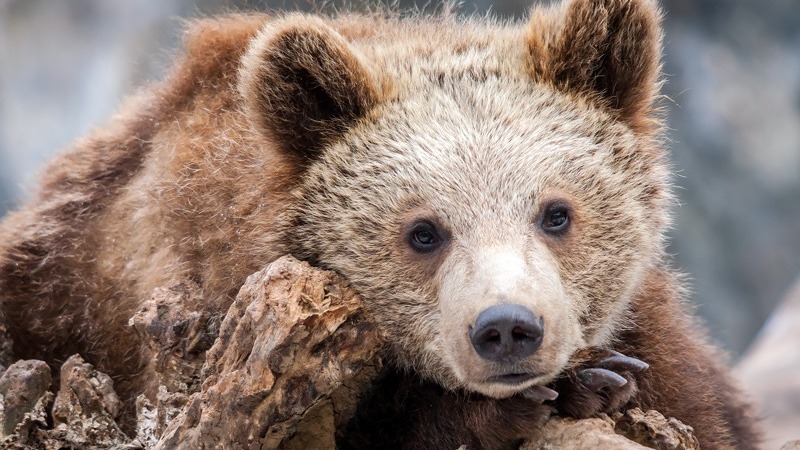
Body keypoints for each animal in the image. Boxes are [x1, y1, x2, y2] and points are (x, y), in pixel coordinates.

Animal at [0, 0, 756, 448]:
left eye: (556, 213)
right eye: (424, 231)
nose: (507, 328)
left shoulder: (669, 353)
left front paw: (593, 376)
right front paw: (568, 385)